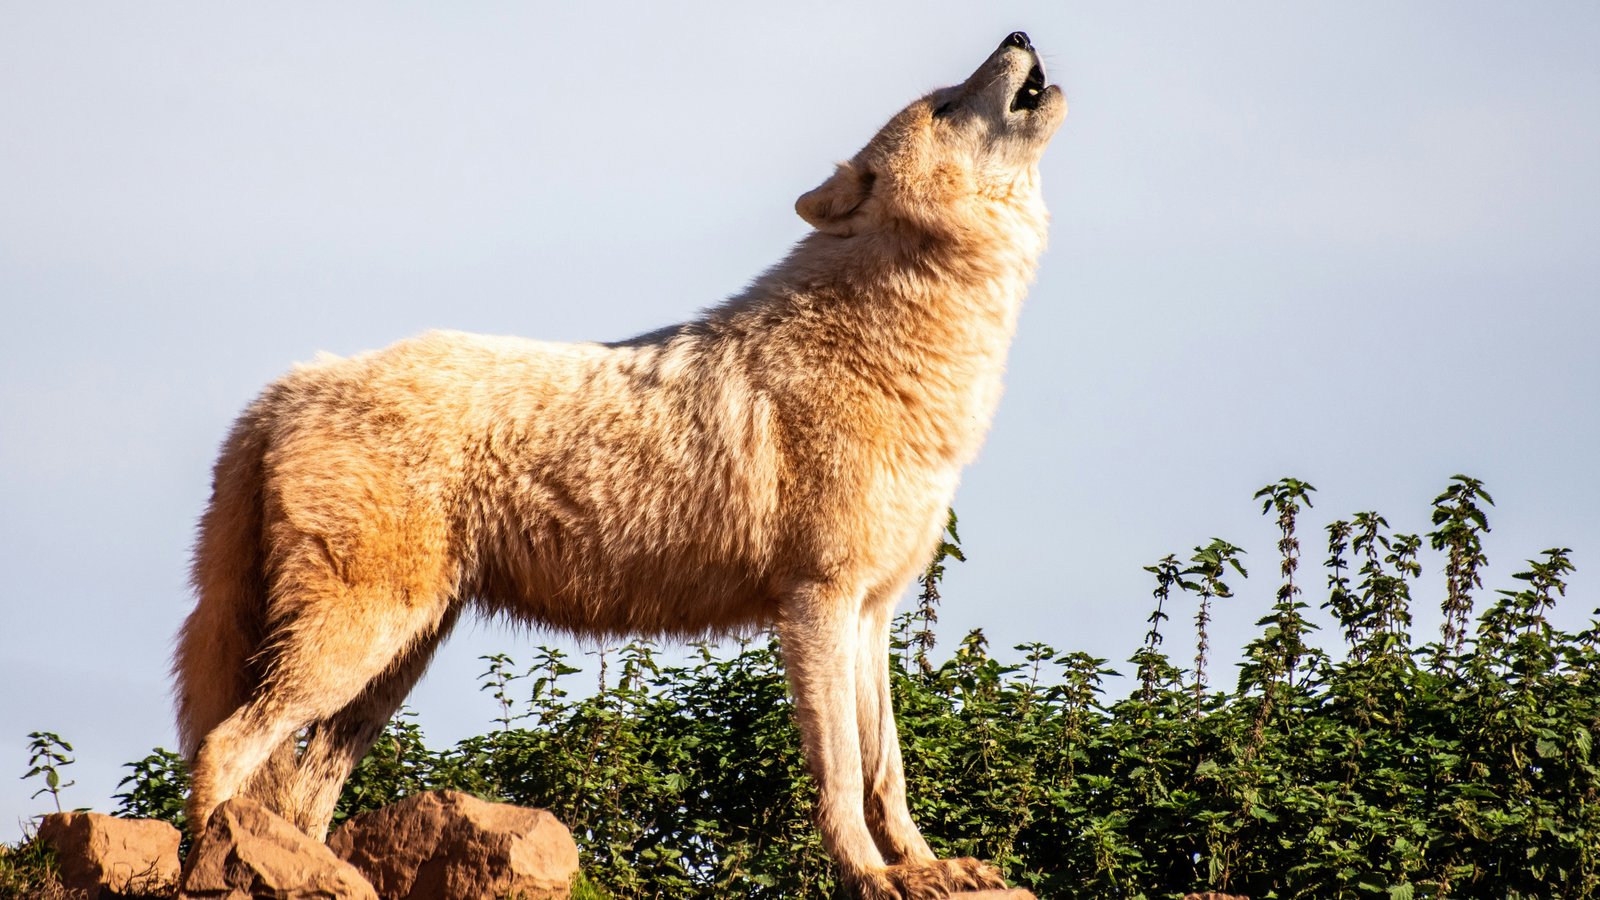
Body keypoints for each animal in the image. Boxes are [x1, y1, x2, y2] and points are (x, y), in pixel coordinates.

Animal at [175, 31, 1062, 890]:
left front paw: (928, 868)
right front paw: (871, 877)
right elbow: (842, 772)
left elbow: (889, 771)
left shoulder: (873, 611)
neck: (893, 350)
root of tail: (284, 389)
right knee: (225, 747)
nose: (1019, 32)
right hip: (356, 642)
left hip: (393, 660)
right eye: (945, 104)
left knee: (301, 792)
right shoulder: (817, 603)